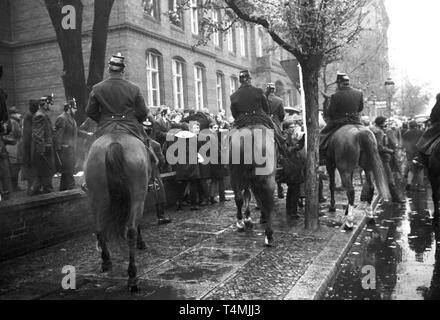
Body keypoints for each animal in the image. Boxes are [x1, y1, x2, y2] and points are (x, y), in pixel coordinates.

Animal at [84, 132, 151, 292]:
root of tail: (114, 142)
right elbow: (138, 225)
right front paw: (141, 243)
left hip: (95, 196)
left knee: (99, 229)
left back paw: (106, 261)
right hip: (137, 197)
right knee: (131, 231)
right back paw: (132, 276)